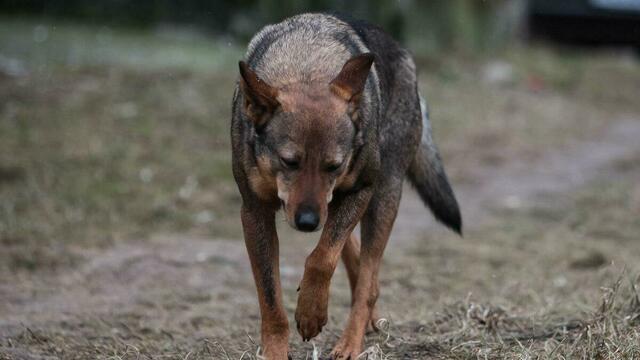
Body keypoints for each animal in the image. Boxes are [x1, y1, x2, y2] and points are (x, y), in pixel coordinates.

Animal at [230, 12, 460, 358]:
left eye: (334, 165)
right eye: (289, 161)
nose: (307, 222)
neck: (306, 67)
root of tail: (405, 55)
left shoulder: (358, 191)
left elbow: (322, 258)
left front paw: (311, 313)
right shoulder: (255, 213)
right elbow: (271, 299)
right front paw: (275, 350)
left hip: (381, 197)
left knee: (366, 281)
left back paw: (350, 343)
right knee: (357, 262)